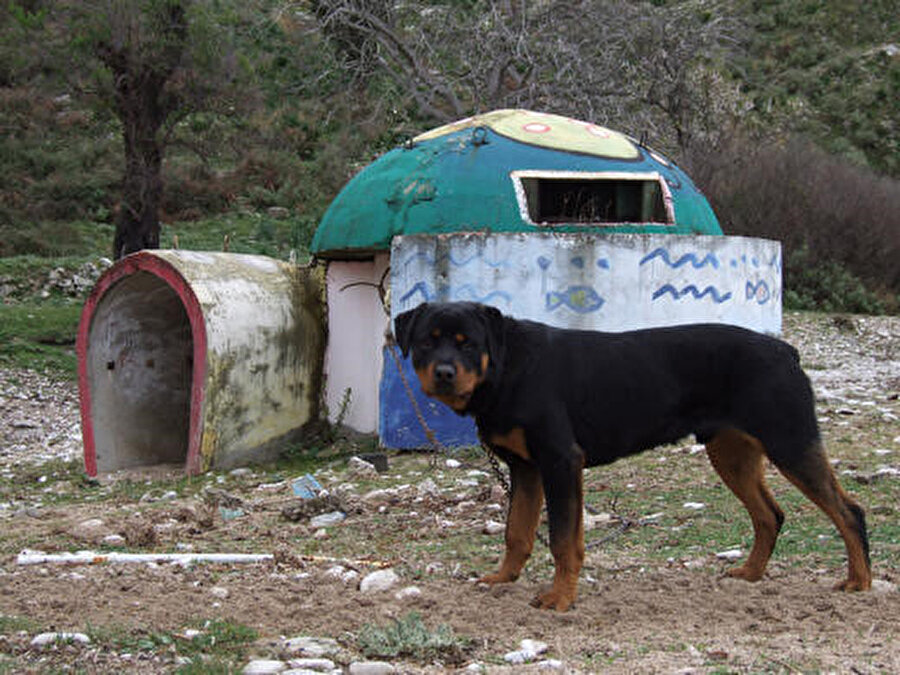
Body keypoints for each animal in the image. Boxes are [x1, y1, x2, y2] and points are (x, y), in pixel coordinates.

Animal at [396, 304, 872, 608]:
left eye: (467, 343)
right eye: (425, 343)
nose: (444, 373)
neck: (506, 367)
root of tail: (786, 351)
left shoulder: (560, 460)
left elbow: (563, 539)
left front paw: (559, 598)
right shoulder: (526, 468)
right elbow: (518, 532)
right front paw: (502, 578)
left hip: (790, 441)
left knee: (848, 510)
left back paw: (860, 581)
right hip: (731, 453)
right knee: (770, 514)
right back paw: (751, 574)